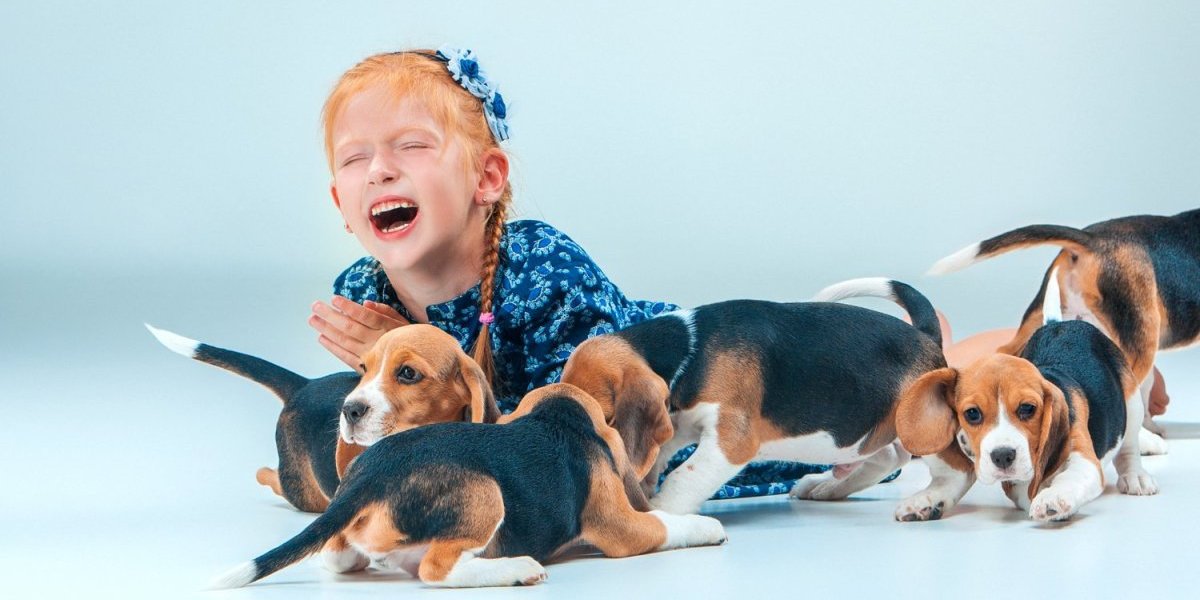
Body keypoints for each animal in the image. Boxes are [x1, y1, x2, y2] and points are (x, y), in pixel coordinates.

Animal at [148, 321, 496, 513]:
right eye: (364, 369)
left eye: (408, 373)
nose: (350, 410)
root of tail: (305, 384)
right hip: (301, 489)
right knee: (274, 479)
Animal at [211, 381, 724, 588]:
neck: (556, 416)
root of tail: (372, 473)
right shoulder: (620, 526)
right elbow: (665, 523)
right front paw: (707, 527)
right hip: (484, 492)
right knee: (436, 570)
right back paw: (518, 568)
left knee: (339, 557)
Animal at [556, 279, 969, 520]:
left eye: (601, 416)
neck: (688, 349)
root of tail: (925, 335)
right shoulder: (676, 423)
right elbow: (660, 457)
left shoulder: (730, 439)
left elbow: (684, 475)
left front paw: (660, 511)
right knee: (888, 457)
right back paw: (827, 486)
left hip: (917, 424)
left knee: (958, 469)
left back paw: (928, 502)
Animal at [897, 272, 1156, 520]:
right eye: (972, 414)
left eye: (1028, 408)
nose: (1002, 456)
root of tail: (1060, 324)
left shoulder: (1083, 460)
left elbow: (1067, 478)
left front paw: (1053, 498)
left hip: (1132, 403)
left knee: (1129, 447)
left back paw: (1135, 477)